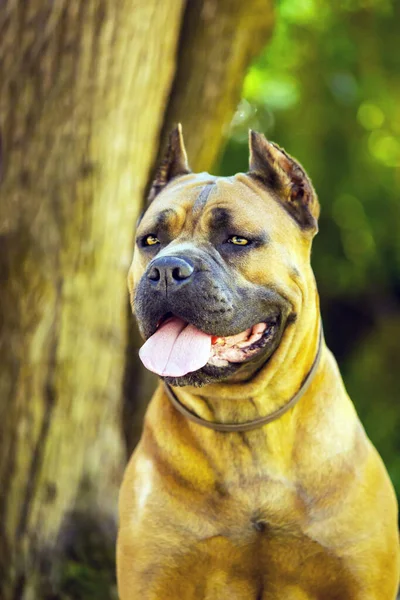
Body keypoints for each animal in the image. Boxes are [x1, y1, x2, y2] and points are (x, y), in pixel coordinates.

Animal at [117, 124, 398, 596]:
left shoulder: (363, 579)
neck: (245, 419)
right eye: (151, 241)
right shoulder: (153, 579)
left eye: (237, 240)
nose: (167, 270)